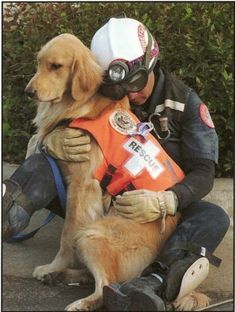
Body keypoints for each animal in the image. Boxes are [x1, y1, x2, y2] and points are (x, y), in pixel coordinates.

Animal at [25, 33, 209, 310]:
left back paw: (79, 298)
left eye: (56, 66)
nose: (28, 92)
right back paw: (62, 276)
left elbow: (66, 237)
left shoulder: (83, 186)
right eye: (39, 63)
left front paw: (55, 265)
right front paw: (54, 269)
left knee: (106, 286)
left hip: (92, 234)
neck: (79, 105)